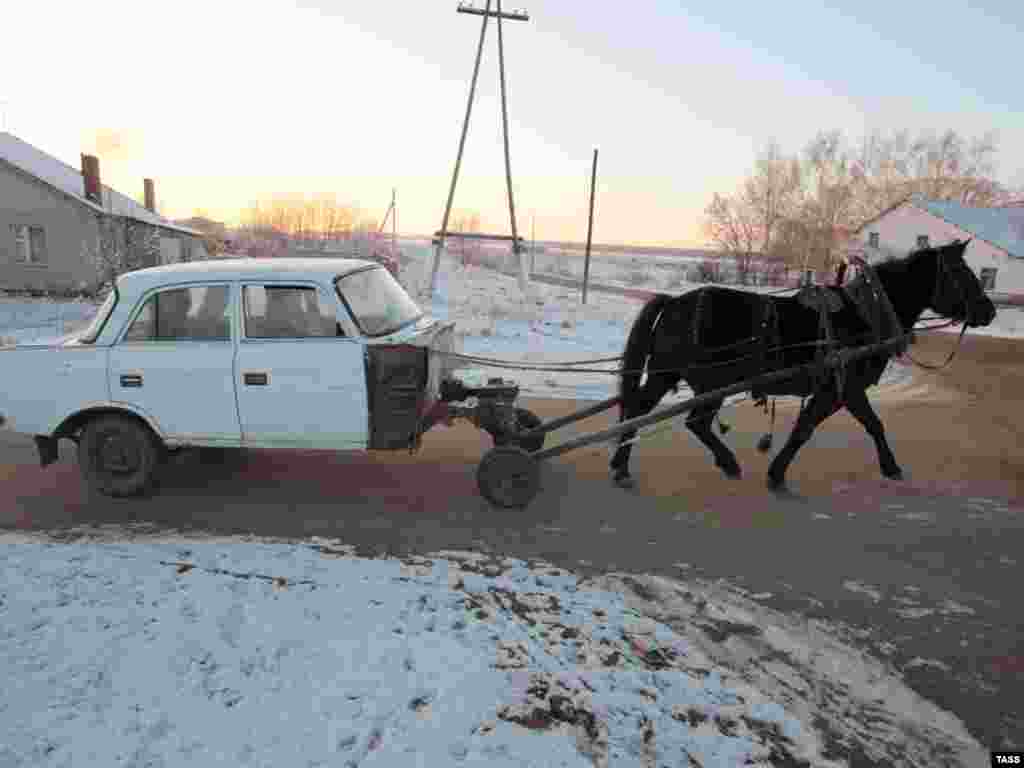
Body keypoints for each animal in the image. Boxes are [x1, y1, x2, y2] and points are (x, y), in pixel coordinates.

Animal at [610, 240, 995, 493]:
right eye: (963, 273)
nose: (989, 311)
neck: (867, 313)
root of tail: (674, 302)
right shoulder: (844, 387)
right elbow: (848, 426)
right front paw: (890, 466)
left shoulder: (838, 390)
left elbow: (827, 426)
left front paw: (778, 472)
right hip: (709, 381)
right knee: (692, 421)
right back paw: (725, 462)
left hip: (669, 374)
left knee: (642, 410)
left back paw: (622, 464)